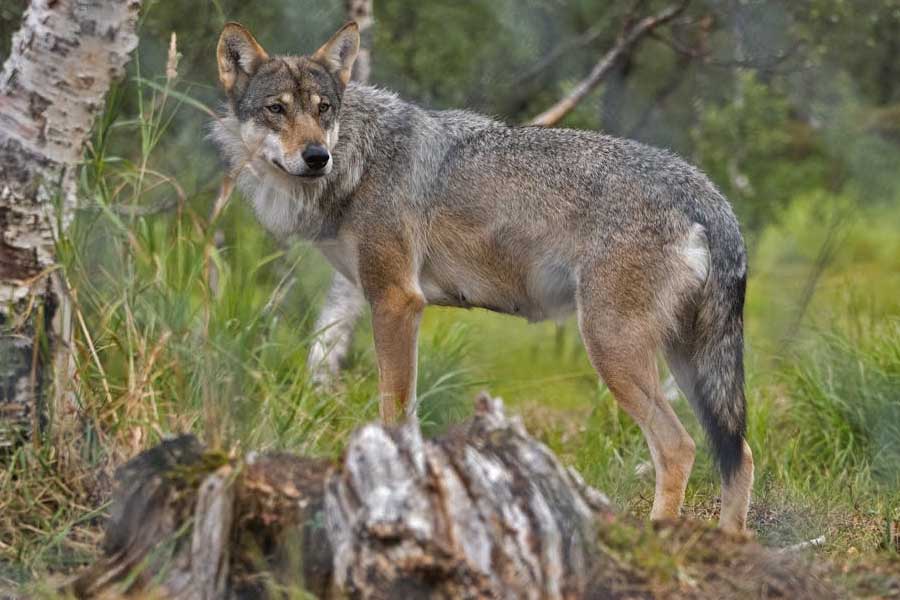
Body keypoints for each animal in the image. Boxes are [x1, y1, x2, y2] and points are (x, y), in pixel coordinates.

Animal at [212, 21, 754, 533]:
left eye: (323, 109)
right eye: (277, 109)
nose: (315, 156)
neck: (359, 159)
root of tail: (707, 192)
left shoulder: (395, 301)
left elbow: (395, 415)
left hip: (613, 347)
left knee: (679, 447)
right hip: (684, 361)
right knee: (740, 454)